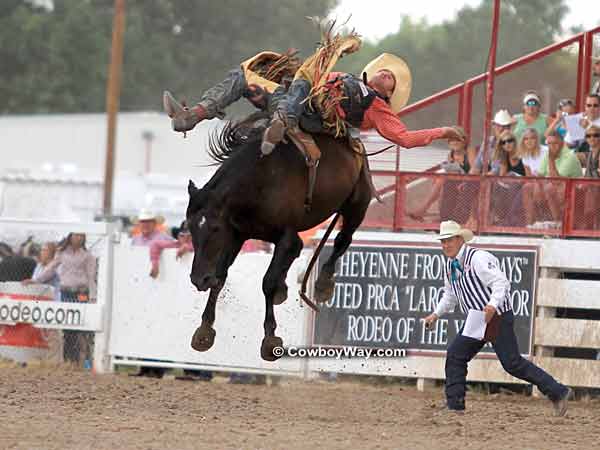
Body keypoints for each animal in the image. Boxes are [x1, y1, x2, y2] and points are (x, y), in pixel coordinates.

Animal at [185, 118, 370, 360]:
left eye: (215, 229)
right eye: (190, 227)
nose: (199, 279)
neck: (259, 181)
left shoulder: (286, 236)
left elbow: (268, 282)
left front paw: (270, 338)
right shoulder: (237, 235)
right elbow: (220, 276)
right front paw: (205, 331)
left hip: (357, 205)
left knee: (342, 240)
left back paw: (322, 284)